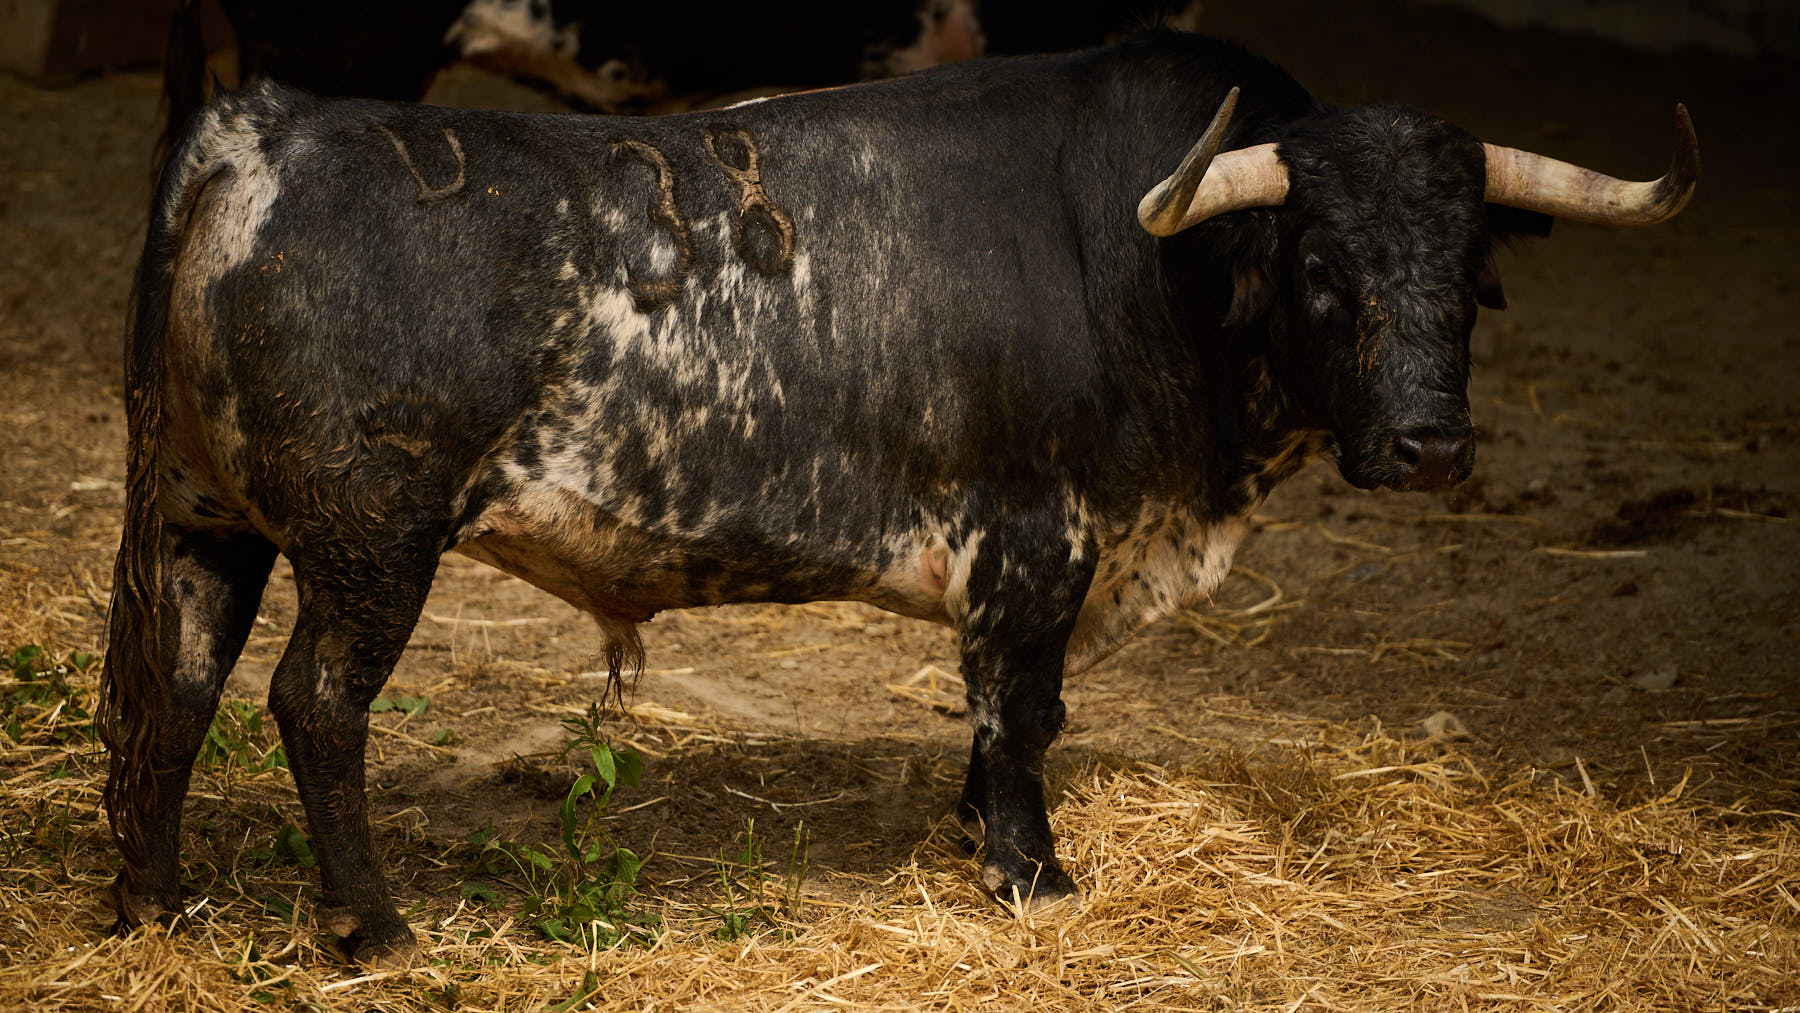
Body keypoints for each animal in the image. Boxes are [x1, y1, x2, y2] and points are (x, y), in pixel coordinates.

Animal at [102, 29, 1699, 964]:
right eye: (1320, 267)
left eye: (1469, 269)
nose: (1429, 445)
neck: (1142, 263)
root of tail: (266, 128)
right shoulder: (1039, 543)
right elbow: (1023, 711)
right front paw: (1031, 873)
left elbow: (1005, 720)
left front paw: (977, 837)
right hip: (370, 542)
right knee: (313, 703)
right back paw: (370, 926)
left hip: (205, 523)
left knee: (174, 689)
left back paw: (156, 901)